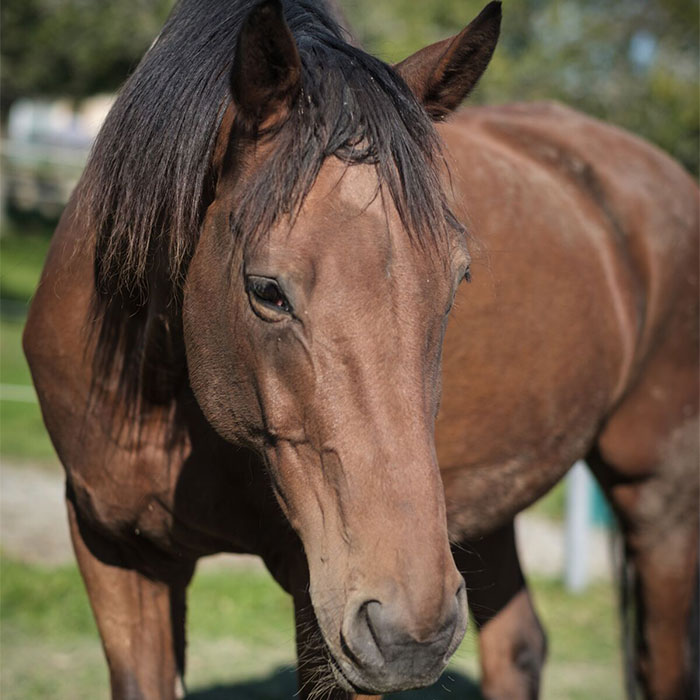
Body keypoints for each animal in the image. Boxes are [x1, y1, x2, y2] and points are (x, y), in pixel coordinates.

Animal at [21, 1, 696, 700]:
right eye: (267, 291)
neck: (153, 392)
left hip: (657, 495)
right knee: (519, 644)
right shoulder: (118, 556)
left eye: (458, 279)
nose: (413, 631)